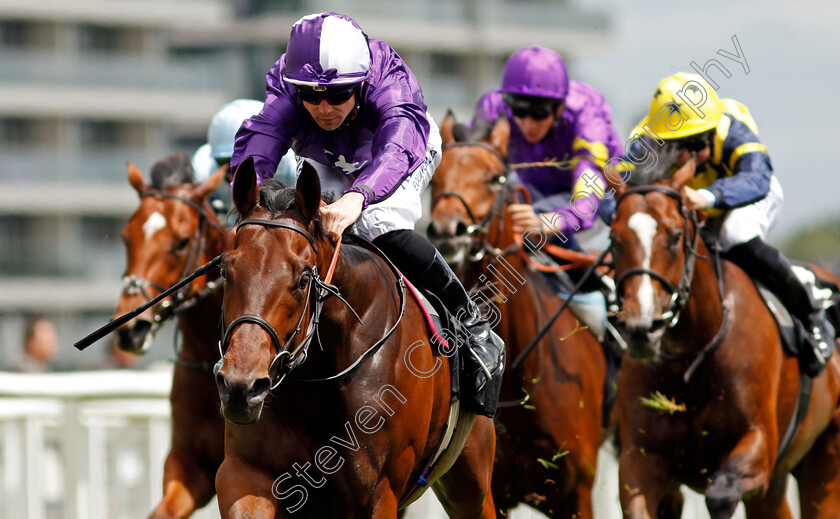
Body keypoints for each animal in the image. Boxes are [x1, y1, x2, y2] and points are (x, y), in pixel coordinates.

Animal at [213, 159, 496, 519]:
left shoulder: (377, 493)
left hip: (471, 481)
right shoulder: (246, 472)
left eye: (303, 278)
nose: (240, 386)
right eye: (225, 270)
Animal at [608, 159, 840, 519]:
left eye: (675, 236)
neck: (693, 354)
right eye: (614, 237)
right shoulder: (641, 459)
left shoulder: (759, 445)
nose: (641, 328)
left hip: (824, 458)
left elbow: (721, 493)